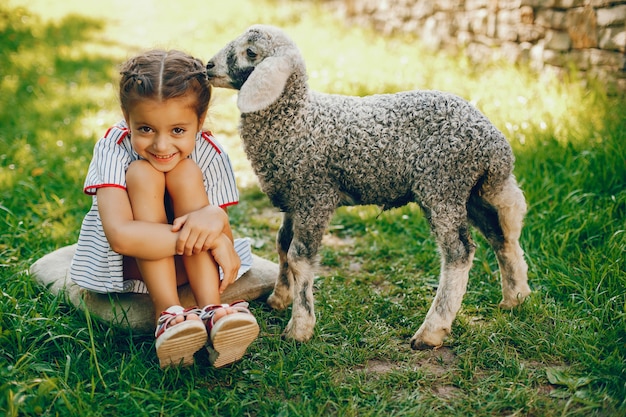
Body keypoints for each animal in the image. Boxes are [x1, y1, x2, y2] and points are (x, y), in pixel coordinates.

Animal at [207, 23, 528, 348]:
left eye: (250, 52)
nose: (208, 66)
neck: (297, 119)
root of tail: (495, 144)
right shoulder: (293, 198)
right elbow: (282, 246)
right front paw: (279, 298)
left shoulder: (315, 195)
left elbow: (299, 258)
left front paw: (299, 327)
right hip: (473, 192)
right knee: (501, 236)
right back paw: (515, 298)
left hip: (442, 186)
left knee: (459, 253)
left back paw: (432, 330)